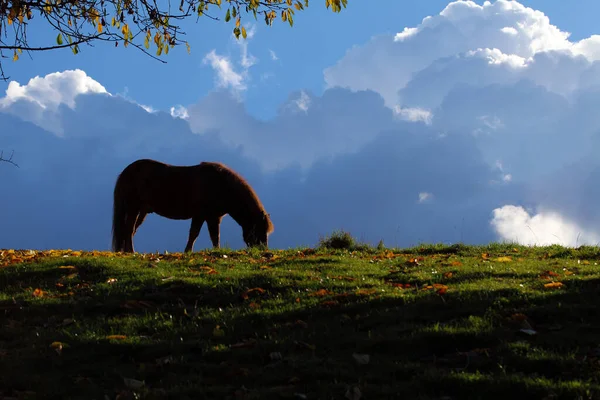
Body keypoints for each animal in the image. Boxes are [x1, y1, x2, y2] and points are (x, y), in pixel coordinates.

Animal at [110, 159, 274, 253]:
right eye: (258, 231)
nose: (263, 251)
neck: (222, 185)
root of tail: (126, 172)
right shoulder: (203, 215)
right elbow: (199, 234)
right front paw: (192, 251)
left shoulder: (212, 217)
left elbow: (210, 235)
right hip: (133, 208)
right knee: (129, 229)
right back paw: (130, 251)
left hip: (141, 211)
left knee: (130, 230)